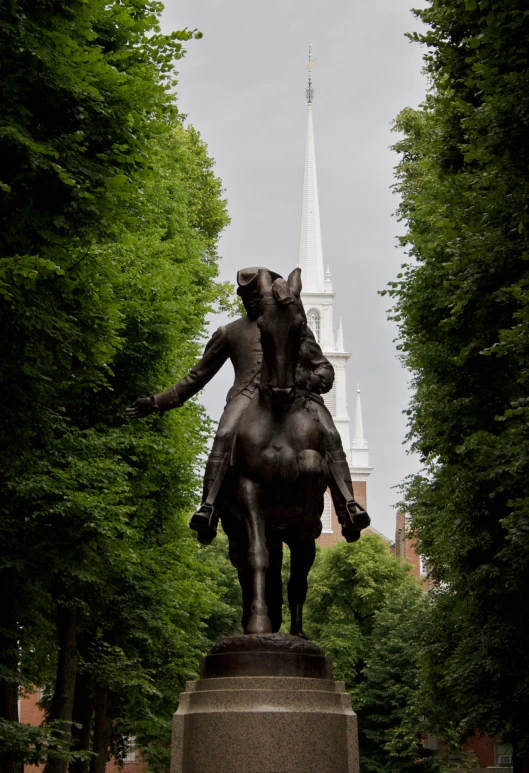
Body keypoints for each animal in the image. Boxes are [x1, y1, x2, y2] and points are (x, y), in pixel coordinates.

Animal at [217, 268, 328, 636]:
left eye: (301, 327)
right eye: (263, 331)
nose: (281, 390)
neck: (278, 417)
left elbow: (311, 462)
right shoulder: (249, 489)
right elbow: (258, 557)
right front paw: (259, 622)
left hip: (291, 537)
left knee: (297, 579)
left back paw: (297, 630)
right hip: (238, 528)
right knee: (248, 565)